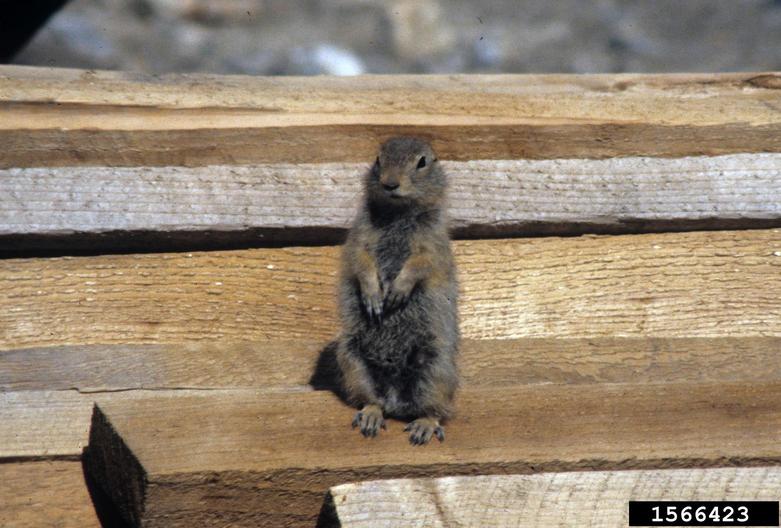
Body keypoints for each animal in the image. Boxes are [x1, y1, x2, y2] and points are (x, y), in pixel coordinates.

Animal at [335, 136, 459, 445]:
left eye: (422, 162)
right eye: (378, 159)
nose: (390, 183)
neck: (397, 213)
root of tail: (395, 400)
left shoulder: (432, 245)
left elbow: (419, 264)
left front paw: (396, 292)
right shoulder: (358, 238)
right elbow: (361, 261)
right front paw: (373, 296)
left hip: (437, 370)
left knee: (435, 409)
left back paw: (424, 426)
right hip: (352, 362)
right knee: (371, 399)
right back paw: (371, 415)